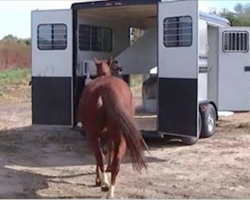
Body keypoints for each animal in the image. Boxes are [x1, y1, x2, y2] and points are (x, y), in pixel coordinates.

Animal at [78, 57, 148, 198]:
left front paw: (98, 178)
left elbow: (104, 153)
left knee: (100, 156)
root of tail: (106, 88)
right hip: (120, 137)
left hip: (95, 135)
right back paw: (109, 190)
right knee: (115, 162)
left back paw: (104, 184)